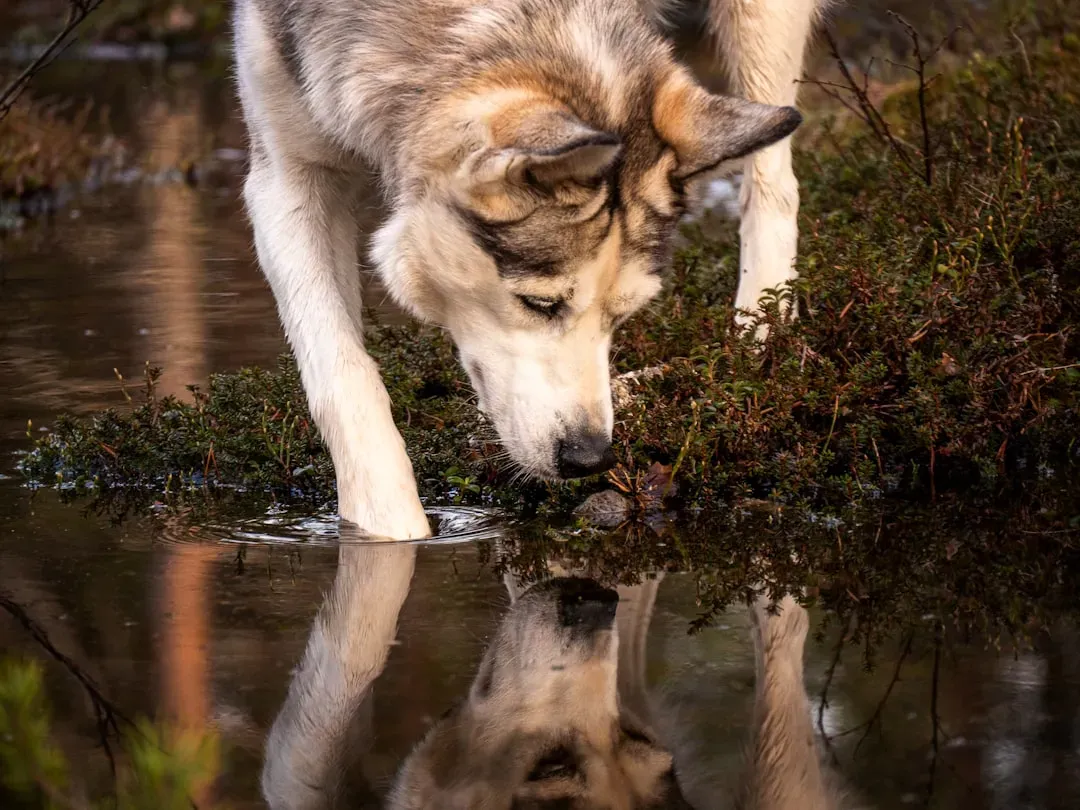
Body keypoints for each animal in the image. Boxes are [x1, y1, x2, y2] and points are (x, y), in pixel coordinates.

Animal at [234, 0, 829, 535]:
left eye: (624, 314)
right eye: (540, 303)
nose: (590, 459)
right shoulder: (286, 177)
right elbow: (342, 374)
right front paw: (388, 526)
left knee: (773, 182)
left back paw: (757, 342)